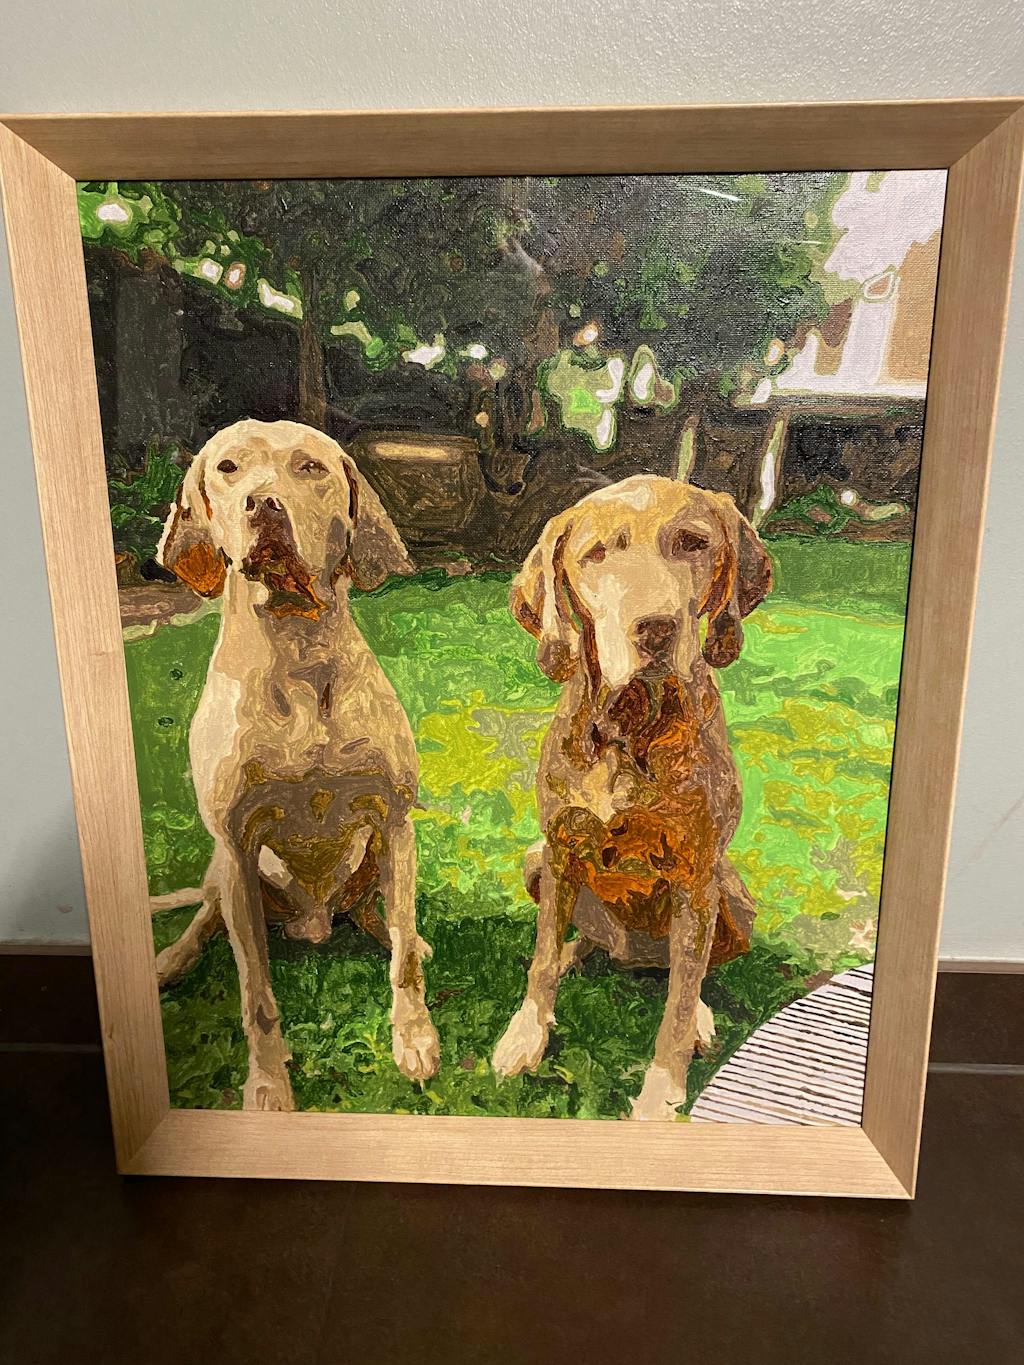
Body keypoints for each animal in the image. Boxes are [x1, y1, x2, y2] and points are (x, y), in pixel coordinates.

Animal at [154, 419, 439, 1110]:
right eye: (227, 467)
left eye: (310, 467)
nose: (263, 503)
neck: (297, 650)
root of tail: (313, 924)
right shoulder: (235, 848)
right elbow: (254, 991)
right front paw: (267, 1084)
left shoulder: (396, 823)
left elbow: (404, 966)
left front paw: (415, 1037)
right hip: (226, 875)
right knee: (204, 919)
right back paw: (170, 959)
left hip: (377, 860)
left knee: (384, 919)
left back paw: (405, 933)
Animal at [492, 475, 772, 1119]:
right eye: (597, 554)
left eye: (693, 542)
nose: (656, 627)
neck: (631, 733)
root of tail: (633, 957)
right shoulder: (560, 849)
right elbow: (541, 958)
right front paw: (526, 1034)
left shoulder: (697, 879)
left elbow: (677, 1006)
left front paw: (661, 1093)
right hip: (534, 862)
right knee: (577, 941)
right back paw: (578, 954)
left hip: (732, 895)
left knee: (690, 975)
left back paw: (700, 1015)